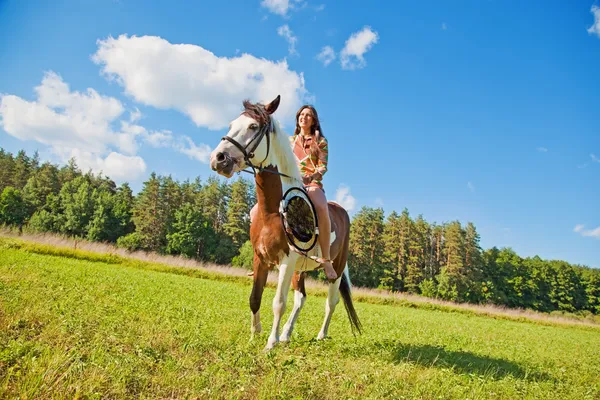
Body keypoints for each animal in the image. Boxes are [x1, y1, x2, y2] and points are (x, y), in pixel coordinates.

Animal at [209, 94, 364, 350]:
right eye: (232, 124)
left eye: (253, 126)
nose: (218, 159)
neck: (272, 211)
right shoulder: (260, 258)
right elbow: (255, 298)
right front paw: (255, 335)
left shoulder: (286, 261)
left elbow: (278, 303)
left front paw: (269, 344)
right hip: (299, 270)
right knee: (301, 298)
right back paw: (286, 334)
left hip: (336, 268)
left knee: (331, 301)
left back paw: (320, 335)